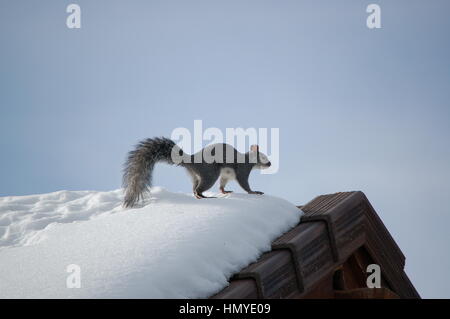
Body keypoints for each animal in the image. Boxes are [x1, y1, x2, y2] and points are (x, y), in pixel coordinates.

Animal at [121, 138, 272, 209]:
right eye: (263, 157)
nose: (270, 164)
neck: (248, 159)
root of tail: (192, 160)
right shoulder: (242, 170)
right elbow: (244, 184)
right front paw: (254, 192)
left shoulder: (226, 175)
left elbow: (222, 183)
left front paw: (225, 191)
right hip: (210, 174)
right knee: (199, 189)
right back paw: (204, 197)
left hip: (196, 176)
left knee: (194, 188)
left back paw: (200, 196)